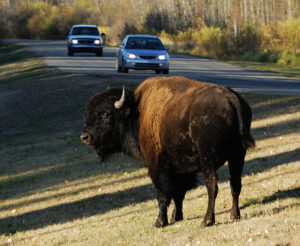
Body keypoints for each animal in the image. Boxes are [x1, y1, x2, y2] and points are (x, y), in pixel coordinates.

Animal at [81, 76, 254, 227]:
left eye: (105, 113)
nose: (85, 137)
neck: (136, 113)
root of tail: (231, 98)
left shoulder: (157, 167)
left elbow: (163, 195)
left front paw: (159, 222)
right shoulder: (180, 169)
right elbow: (179, 193)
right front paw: (175, 217)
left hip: (209, 158)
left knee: (212, 185)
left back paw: (207, 220)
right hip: (238, 154)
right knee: (235, 183)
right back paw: (234, 215)